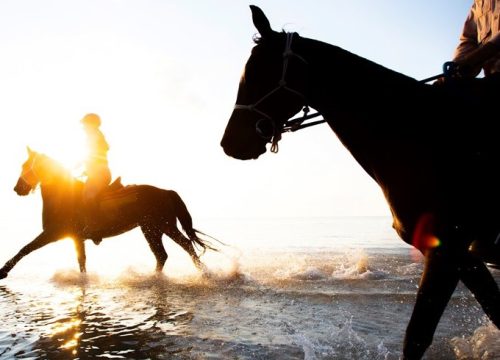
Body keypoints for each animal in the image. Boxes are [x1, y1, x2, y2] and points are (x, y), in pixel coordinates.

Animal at [0, 146, 213, 278]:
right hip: (152, 229)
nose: (17, 188)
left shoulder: (53, 233)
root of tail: (166, 192)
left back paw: (203, 273)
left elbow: (25, 249)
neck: (63, 196)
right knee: (162, 255)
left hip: (162, 226)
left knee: (184, 246)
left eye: (26, 166)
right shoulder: (76, 238)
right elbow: (82, 261)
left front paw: (3, 271)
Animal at [223, 6, 500, 360]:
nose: (230, 142)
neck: (428, 135)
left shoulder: (447, 251)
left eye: (257, 72)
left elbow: (417, 336)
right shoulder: (463, 257)